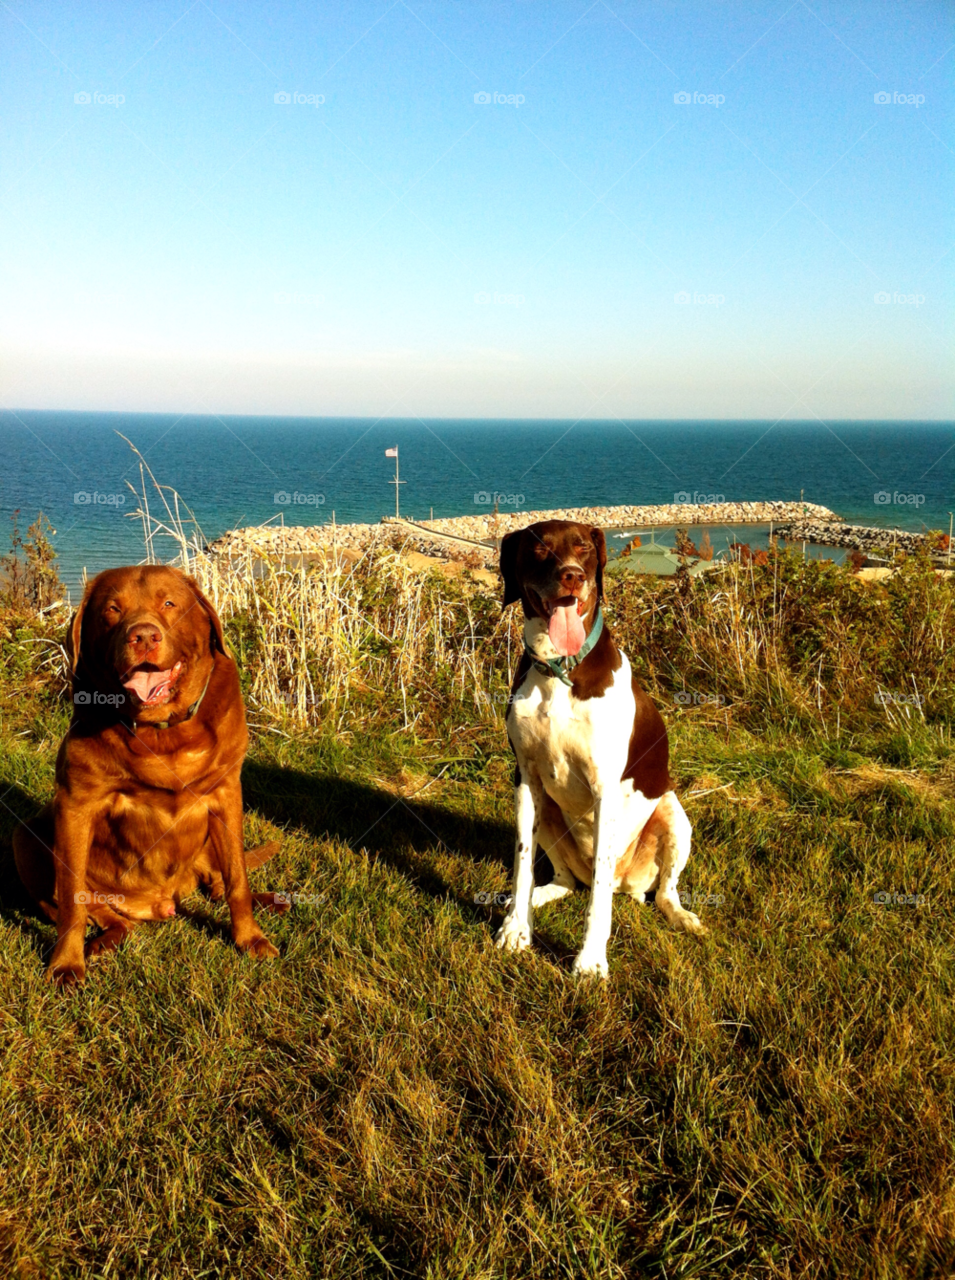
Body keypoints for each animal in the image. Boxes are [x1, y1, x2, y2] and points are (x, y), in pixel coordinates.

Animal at [494, 519, 701, 977]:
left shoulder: (605, 789)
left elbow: (599, 900)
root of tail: (631, 885)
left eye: (584, 547)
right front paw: (517, 928)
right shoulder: (526, 780)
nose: (572, 575)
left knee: (658, 891)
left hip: (674, 817)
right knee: (566, 881)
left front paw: (590, 959)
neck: (559, 668)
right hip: (549, 814)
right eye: (539, 547)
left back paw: (681, 915)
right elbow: (521, 864)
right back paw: (536, 897)